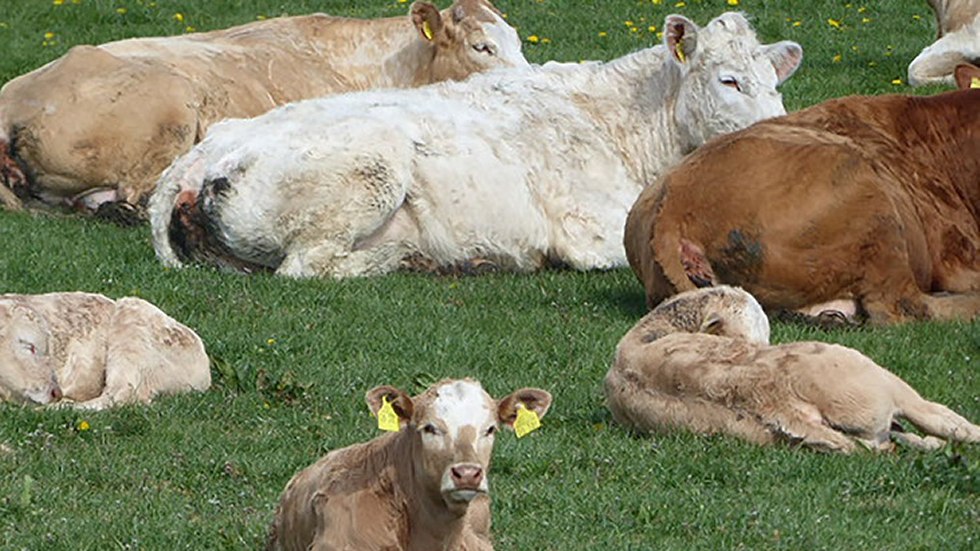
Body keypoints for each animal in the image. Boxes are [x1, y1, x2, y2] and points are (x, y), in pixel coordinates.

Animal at [149, 11, 800, 280]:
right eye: (729, 80)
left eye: (774, 82)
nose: (776, 130)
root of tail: (199, 154)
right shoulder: (590, 229)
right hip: (373, 168)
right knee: (308, 266)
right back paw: (413, 258)